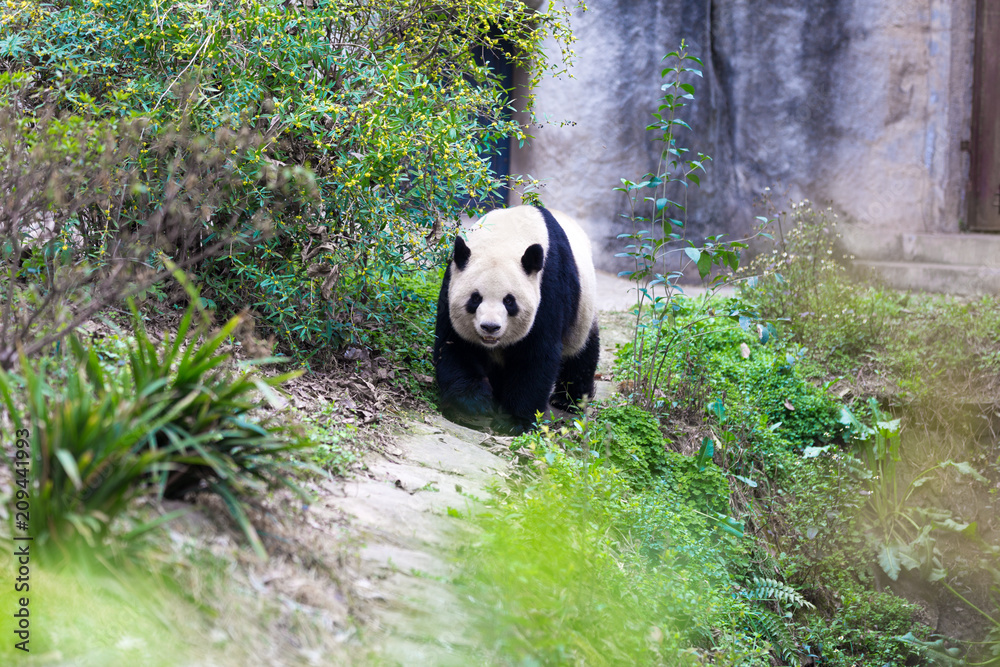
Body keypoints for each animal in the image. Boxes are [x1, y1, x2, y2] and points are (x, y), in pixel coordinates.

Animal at [434, 205, 596, 434]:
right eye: (475, 298)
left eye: (509, 301)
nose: (490, 327)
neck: (503, 238)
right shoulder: (451, 282)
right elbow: (455, 344)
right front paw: (473, 405)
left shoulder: (549, 286)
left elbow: (536, 355)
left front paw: (514, 421)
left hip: (582, 310)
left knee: (582, 350)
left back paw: (569, 400)